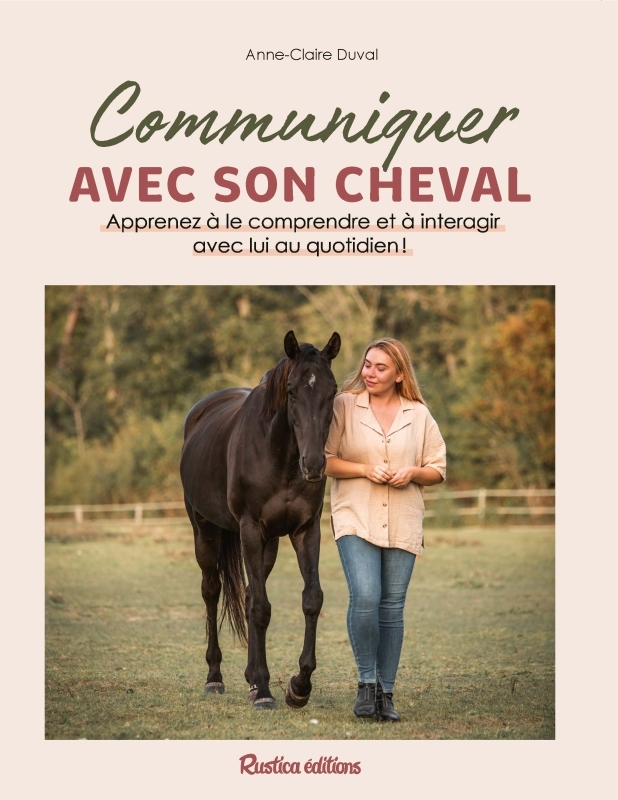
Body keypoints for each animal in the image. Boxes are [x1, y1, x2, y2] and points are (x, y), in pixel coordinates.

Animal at [180, 330, 341, 710]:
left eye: (333, 390)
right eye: (292, 390)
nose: (314, 464)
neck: (279, 456)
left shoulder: (305, 531)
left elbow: (310, 599)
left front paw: (298, 686)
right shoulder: (250, 529)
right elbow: (261, 610)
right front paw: (266, 692)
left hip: (268, 543)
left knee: (252, 593)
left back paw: (251, 678)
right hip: (205, 530)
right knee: (212, 591)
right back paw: (215, 677)